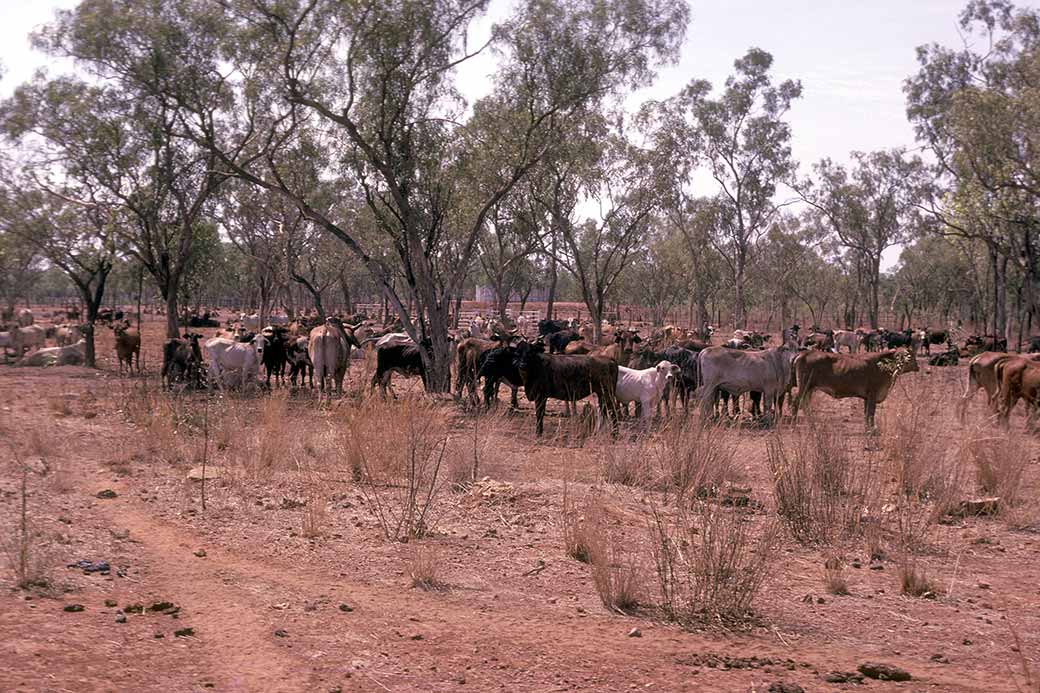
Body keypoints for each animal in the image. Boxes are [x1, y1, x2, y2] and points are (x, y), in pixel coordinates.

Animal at [786, 347, 919, 428]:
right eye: (902, 355)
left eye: (910, 355)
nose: (916, 366)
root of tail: (804, 353)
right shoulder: (873, 394)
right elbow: (871, 413)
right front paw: (872, 430)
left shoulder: (867, 397)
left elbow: (867, 414)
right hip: (804, 387)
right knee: (796, 404)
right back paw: (794, 426)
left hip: (809, 389)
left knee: (805, 405)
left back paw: (812, 425)